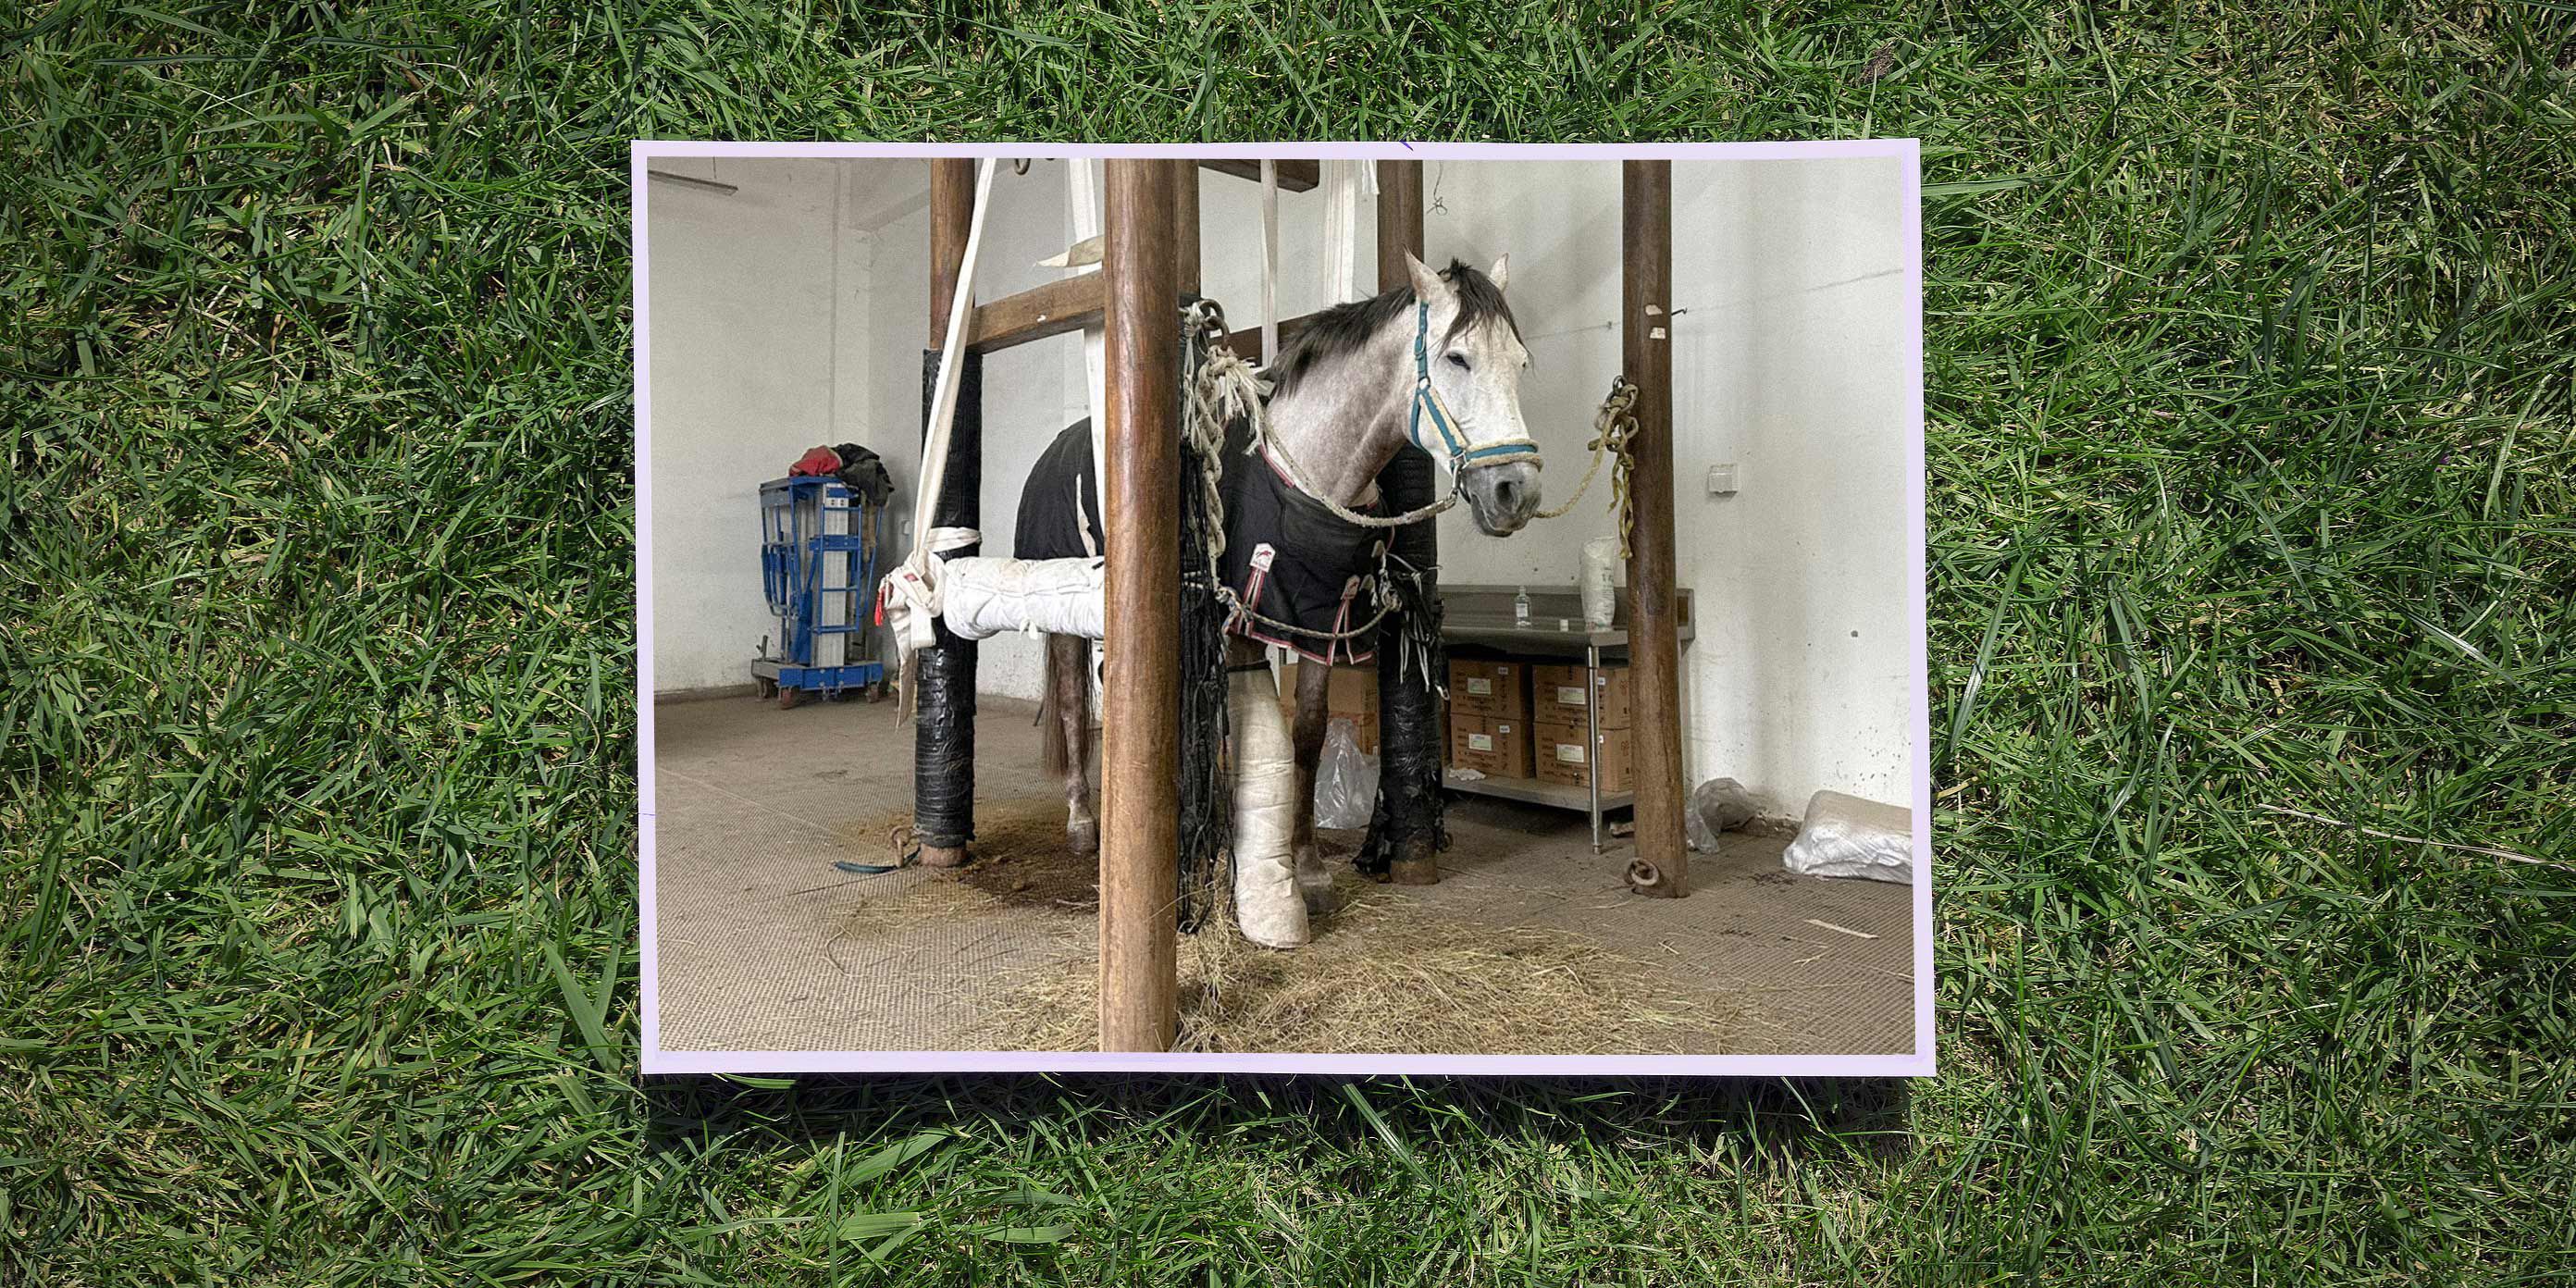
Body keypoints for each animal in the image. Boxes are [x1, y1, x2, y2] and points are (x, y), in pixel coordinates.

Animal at [1014, 252, 1541, 948]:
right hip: (1065, 619)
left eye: (1520, 361)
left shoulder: (1320, 624)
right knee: (1077, 705)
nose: (1516, 492)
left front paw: (1309, 871)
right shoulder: (1242, 620)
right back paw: (1082, 820)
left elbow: (1308, 737)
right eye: (1458, 358)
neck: (1314, 476)